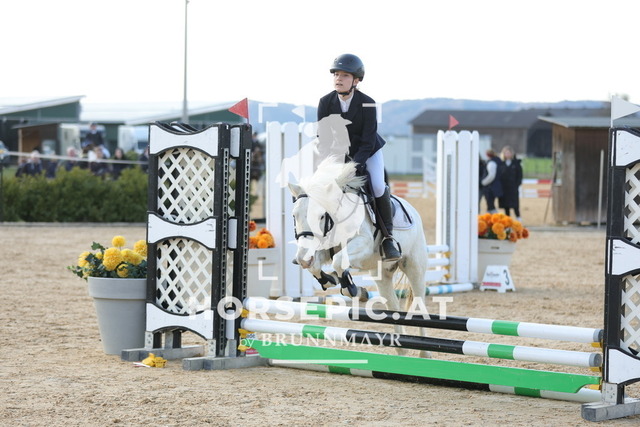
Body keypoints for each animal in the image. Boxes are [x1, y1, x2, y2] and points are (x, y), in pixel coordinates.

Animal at [288, 157, 430, 352]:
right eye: (294, 215)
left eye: (321, 216)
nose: (302, 258)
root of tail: (412, 210)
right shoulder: (322, 249)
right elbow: (318, 266)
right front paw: (332, 279)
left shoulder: (363, 244)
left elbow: (339, 261)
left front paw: (352, 288)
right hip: (382, 276)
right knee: (393, 306)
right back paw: (401, 348)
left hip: (414, 268)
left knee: (419, 304)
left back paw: (425, 353)